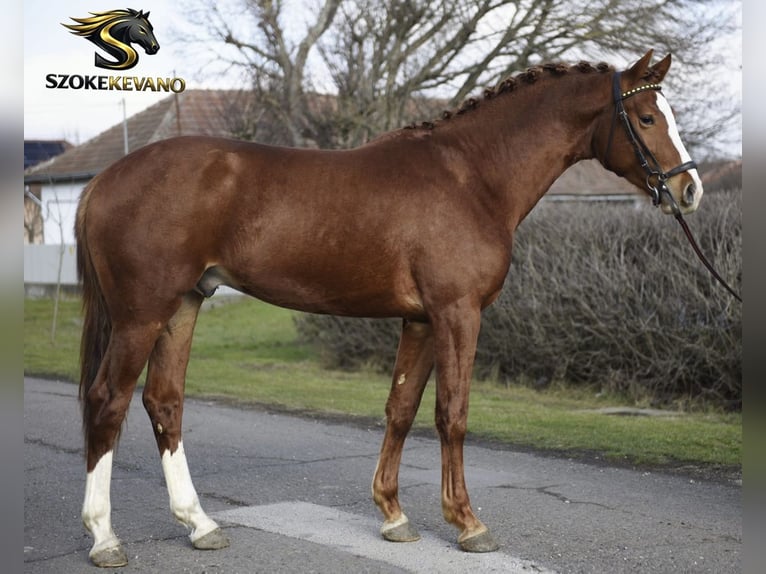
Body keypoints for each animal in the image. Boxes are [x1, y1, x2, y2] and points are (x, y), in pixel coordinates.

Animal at [75, 50, 702, 567]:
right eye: (647, 118)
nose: (689, 189)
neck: (472, 176)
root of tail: (104, 180)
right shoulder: (457, 313)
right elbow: (452, 413)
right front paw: (468, 524)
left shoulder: (421, 320)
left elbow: (401, 408)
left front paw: (393, 516)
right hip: (141, 314)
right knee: (108, 400)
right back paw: (105, 538)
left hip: (182, 306)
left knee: (164, 402)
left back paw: (200, 525)